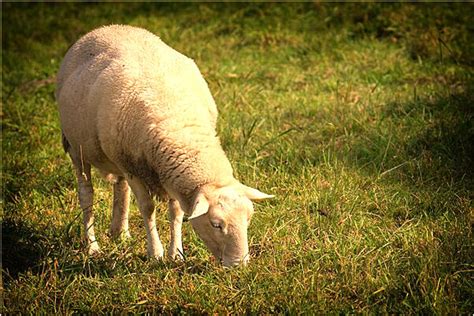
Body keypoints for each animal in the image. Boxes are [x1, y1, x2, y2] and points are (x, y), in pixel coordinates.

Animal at [55, 25, 272, 266]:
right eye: (216, 224)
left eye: (249, 218)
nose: (239, 265)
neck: (180, 126)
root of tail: (106, 28)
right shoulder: (134, 170)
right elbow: (148, 209)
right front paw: (156, 253)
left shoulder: (169, 174)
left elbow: (176, 212)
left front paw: (176, 253)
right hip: (76, 147)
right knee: (86, 194)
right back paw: (92, 246)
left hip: (116, 155)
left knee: (120, 187)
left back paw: (120, 233)